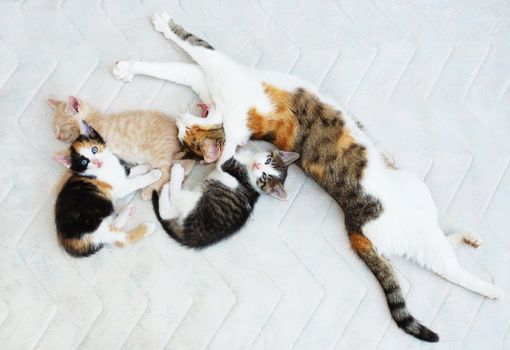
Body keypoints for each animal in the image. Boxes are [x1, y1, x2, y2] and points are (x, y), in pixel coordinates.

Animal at [47, 96, 203, 200]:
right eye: (55, 130)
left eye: (62, 127)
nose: (58, 137)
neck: (93, 120)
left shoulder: (99, 145)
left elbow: (70, 170)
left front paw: (58, 187)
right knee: (186, 162)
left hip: (158, 152)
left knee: (166, 171)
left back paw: (150, 190)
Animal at [54, 120, 161, 258]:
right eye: (84, 162)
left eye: (94, 149)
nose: (97, 162)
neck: (105, 167)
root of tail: (71, 246)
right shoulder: (122, 187)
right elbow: (138, 181)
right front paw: (154, 174)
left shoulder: (121, 173)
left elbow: (130, 171)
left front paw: (145, 166)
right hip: (95, 228)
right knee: (121, 240)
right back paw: (147, 227)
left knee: (114, 225)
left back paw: (127, 210)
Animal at [151, 149, 298, 247]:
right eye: (268, 161)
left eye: (264, 176)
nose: (258, 165)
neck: (248, 163)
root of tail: (192, 238)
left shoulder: (231, 167)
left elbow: (226, 155)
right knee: (168, 212)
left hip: (196, 201)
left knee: (170, 205)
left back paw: (174, 175)